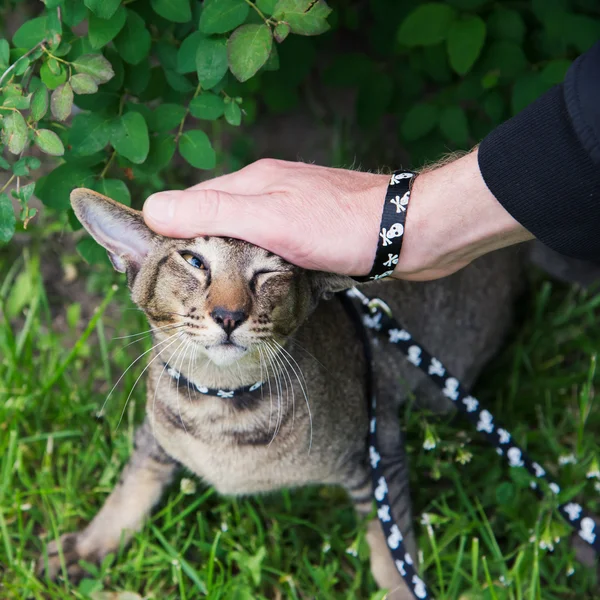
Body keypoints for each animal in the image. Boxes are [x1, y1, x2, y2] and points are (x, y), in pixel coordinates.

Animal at [37, 189, 524, 600]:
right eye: (194, 261)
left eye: (270, 272)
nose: (228, 314)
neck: (219, 408)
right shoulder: (155, 434)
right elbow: (131, 486)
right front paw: (88, 545)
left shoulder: (378, 444)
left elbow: (391, 544)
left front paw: (402, 590)